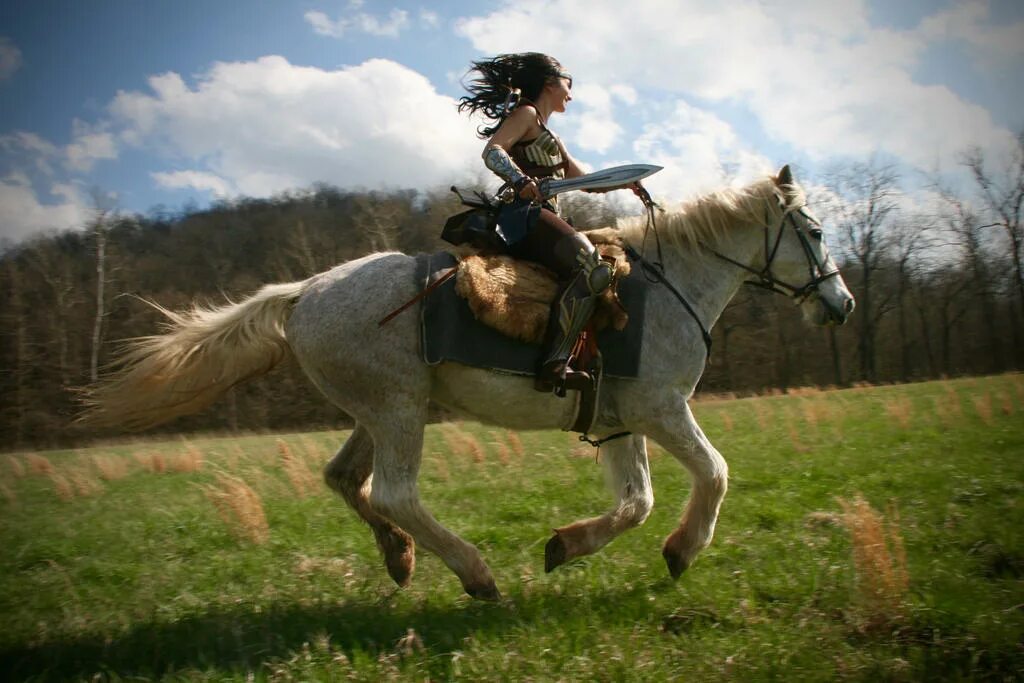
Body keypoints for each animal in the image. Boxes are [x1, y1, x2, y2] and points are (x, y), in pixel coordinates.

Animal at [86, 165, 856, 598]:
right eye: (815, 231)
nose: (841, 304)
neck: (670, 286)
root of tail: (304, 292)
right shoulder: (663, 411)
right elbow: (715, 472)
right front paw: (682, 551)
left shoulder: (621, 423)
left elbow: (636, 502)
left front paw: (566, 545)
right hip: (400, 412)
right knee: (394, 493)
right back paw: (475, 573)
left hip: (380, 412)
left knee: (346, 478)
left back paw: (399, 559)